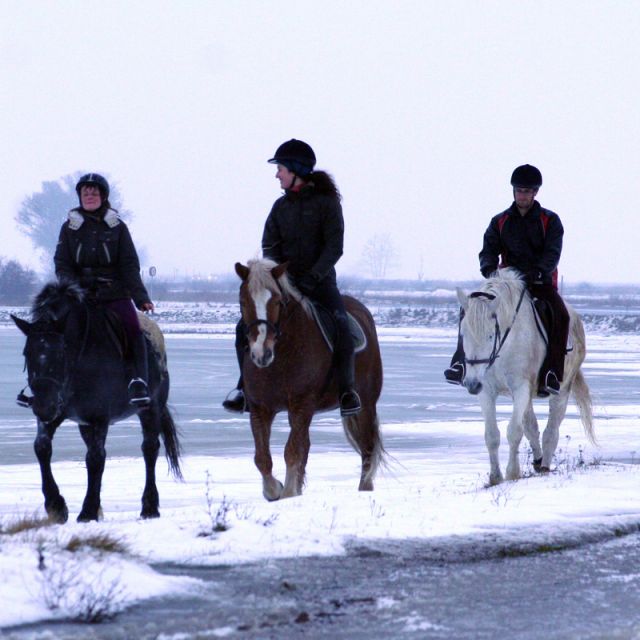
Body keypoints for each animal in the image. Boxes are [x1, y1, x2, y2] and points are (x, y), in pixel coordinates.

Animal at [11, 282, 181, 524]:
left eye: (61, 353)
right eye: (27, 353)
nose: (43, 406)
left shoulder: (99, 416)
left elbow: (95, 458)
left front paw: (88, 510)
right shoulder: (60, 414)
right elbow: (42, 448)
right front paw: (56, 506)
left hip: (151, 408)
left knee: (150, 449)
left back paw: (149, 507)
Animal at [236, 260, 382, 500]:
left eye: (277, 301)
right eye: (243, 301)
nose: (261, 354)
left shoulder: (302, 405)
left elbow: (292, 451)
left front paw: (288, 492)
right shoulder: (260, 408)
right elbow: (263, 458)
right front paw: (275, 489)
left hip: (366, 404)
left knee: (368, 447)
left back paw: (365, 489)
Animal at [456, 268, 596, 482]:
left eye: (490, 335)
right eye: (463, 334)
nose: (471, 384)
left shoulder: (521, 387)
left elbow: (514, 431)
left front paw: (512, 473)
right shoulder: (486, 390)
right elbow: (492, 435)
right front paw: (495, 478)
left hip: (562, 390)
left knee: (551, 431)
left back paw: (545, 466)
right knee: (532, 427)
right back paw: (537, 461)